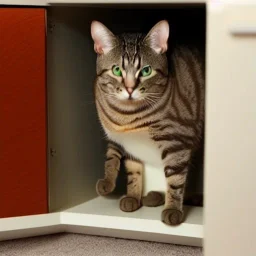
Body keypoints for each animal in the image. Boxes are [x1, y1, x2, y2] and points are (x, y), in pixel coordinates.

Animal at [91, 19, 205, 224]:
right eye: (117, 70)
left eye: (146, 70)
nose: (129, 88)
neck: (126, 117)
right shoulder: (129, 145)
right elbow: (131, 170)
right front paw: (132, 196)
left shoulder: (178, 141)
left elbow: (175, 181)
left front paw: (172, 209)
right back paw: (152, 197)